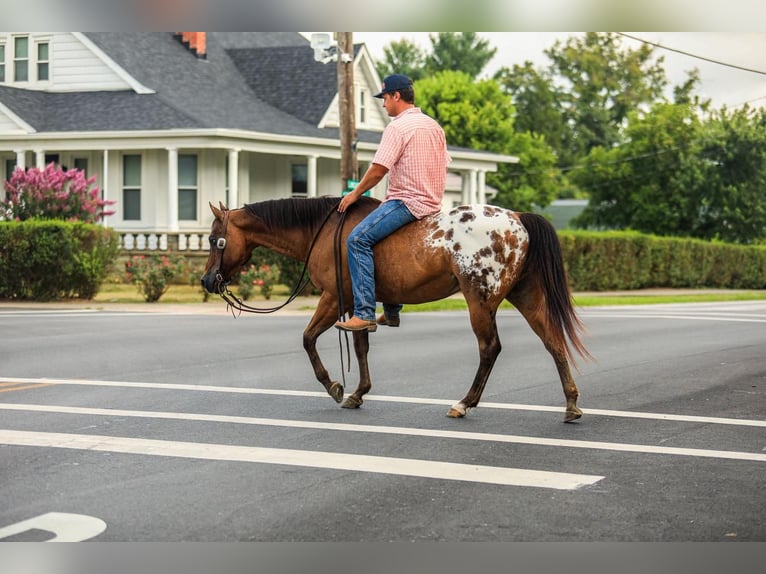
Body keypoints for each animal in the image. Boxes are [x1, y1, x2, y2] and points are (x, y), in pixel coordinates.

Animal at [201, 198, 592, 424]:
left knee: (489, 348)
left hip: (480, 299)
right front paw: (358, 392)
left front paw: (334, 386)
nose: (206, 280)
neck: (322, 230)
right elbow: (360, 345)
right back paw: (571, 404)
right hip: (526, 296)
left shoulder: (334, 298)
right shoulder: (356, 304)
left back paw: (464, 403)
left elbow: (308, 338)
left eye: (214, 240)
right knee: (552, 341)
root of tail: (519, 219)